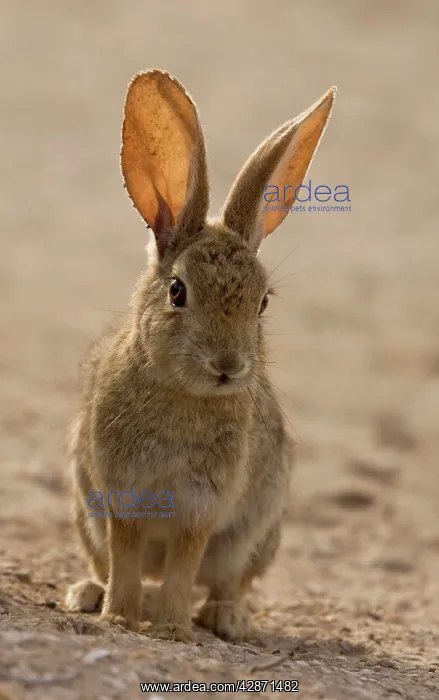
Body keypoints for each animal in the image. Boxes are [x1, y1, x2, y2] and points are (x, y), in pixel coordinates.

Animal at [65, 69, 336, 643]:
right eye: (177, 292)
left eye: (262, 302)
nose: (227, 367)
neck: (182, 395)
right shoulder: (122, 496)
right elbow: (126, 554)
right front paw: (120, 616)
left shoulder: (202, 506)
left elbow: (184, 564)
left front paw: (169, 629)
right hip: (85, 514)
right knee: (107, 563)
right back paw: (90, 594)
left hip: (252, 534)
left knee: (226, 582)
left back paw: (228, 618)